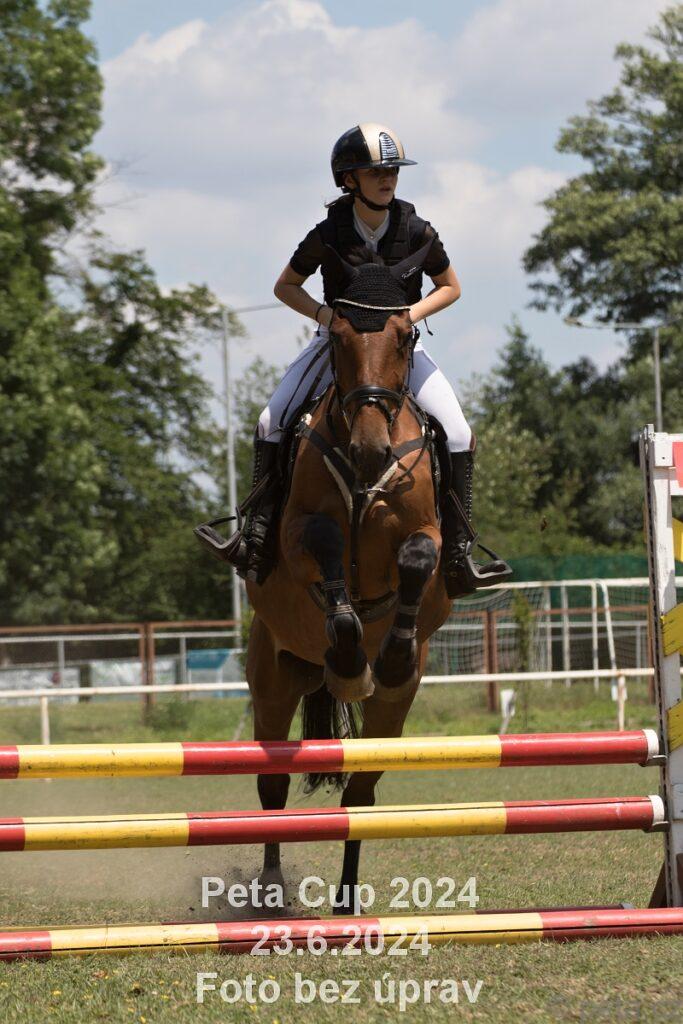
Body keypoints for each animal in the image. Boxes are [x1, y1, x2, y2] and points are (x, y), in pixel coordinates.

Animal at [245, 245, 452, 912]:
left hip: (393, 714)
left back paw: (346, 902)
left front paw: (387, 656)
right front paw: (348, 653)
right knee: (271, 789)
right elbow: (327, 548)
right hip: (274, 678)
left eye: (405, 335)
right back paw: (272, 891)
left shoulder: (427, 535)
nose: (368, 451)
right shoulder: (298, 533)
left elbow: (417, 559)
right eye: (335, 336)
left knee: (360, 797)